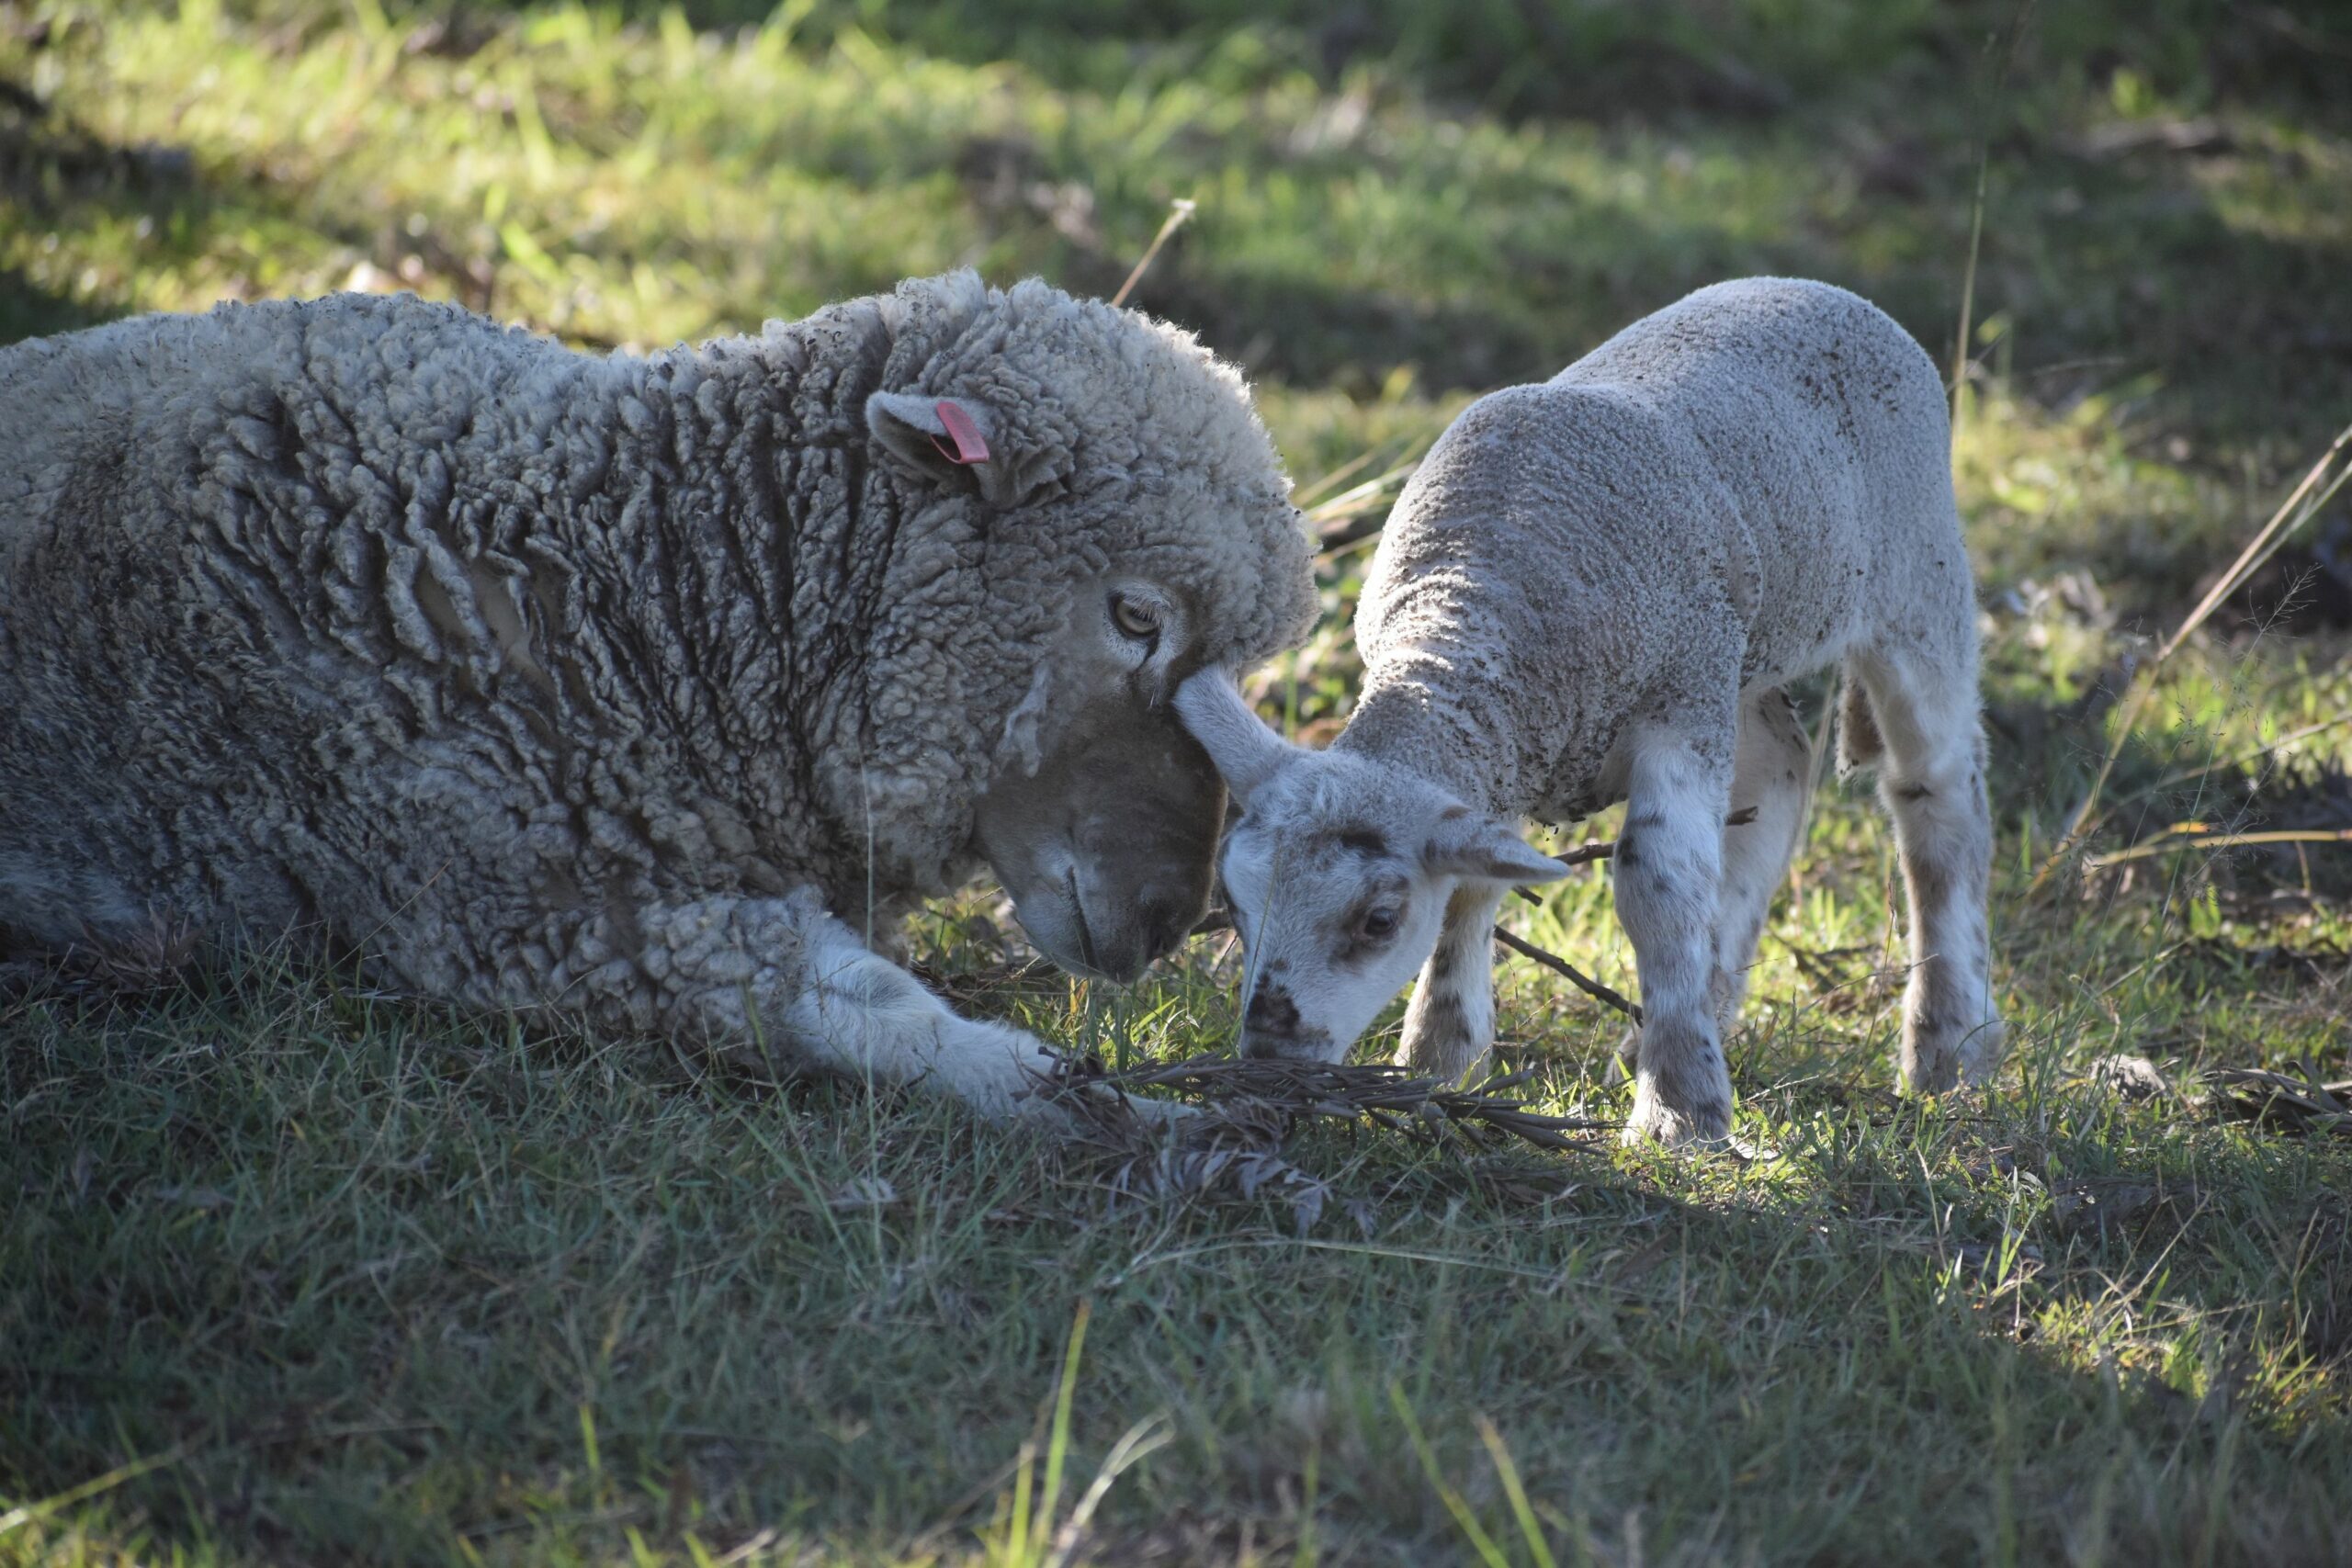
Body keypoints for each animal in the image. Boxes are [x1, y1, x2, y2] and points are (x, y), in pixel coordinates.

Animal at [1176, 276, 2004, 1146]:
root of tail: (1813, 288)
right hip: (1741, 652)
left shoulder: (1676, 700)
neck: (1468, 619)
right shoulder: (1509, 741)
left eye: (1378, 919)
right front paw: (1437, 1058)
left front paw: (1681, 1111)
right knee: (1780, 767)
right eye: (1233, 898)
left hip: (1914, 583)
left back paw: (1950, 1044)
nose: (1268, 1058)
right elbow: (1472, 891)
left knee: (1937, 790)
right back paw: (1703, 1004)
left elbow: (1660, 888)